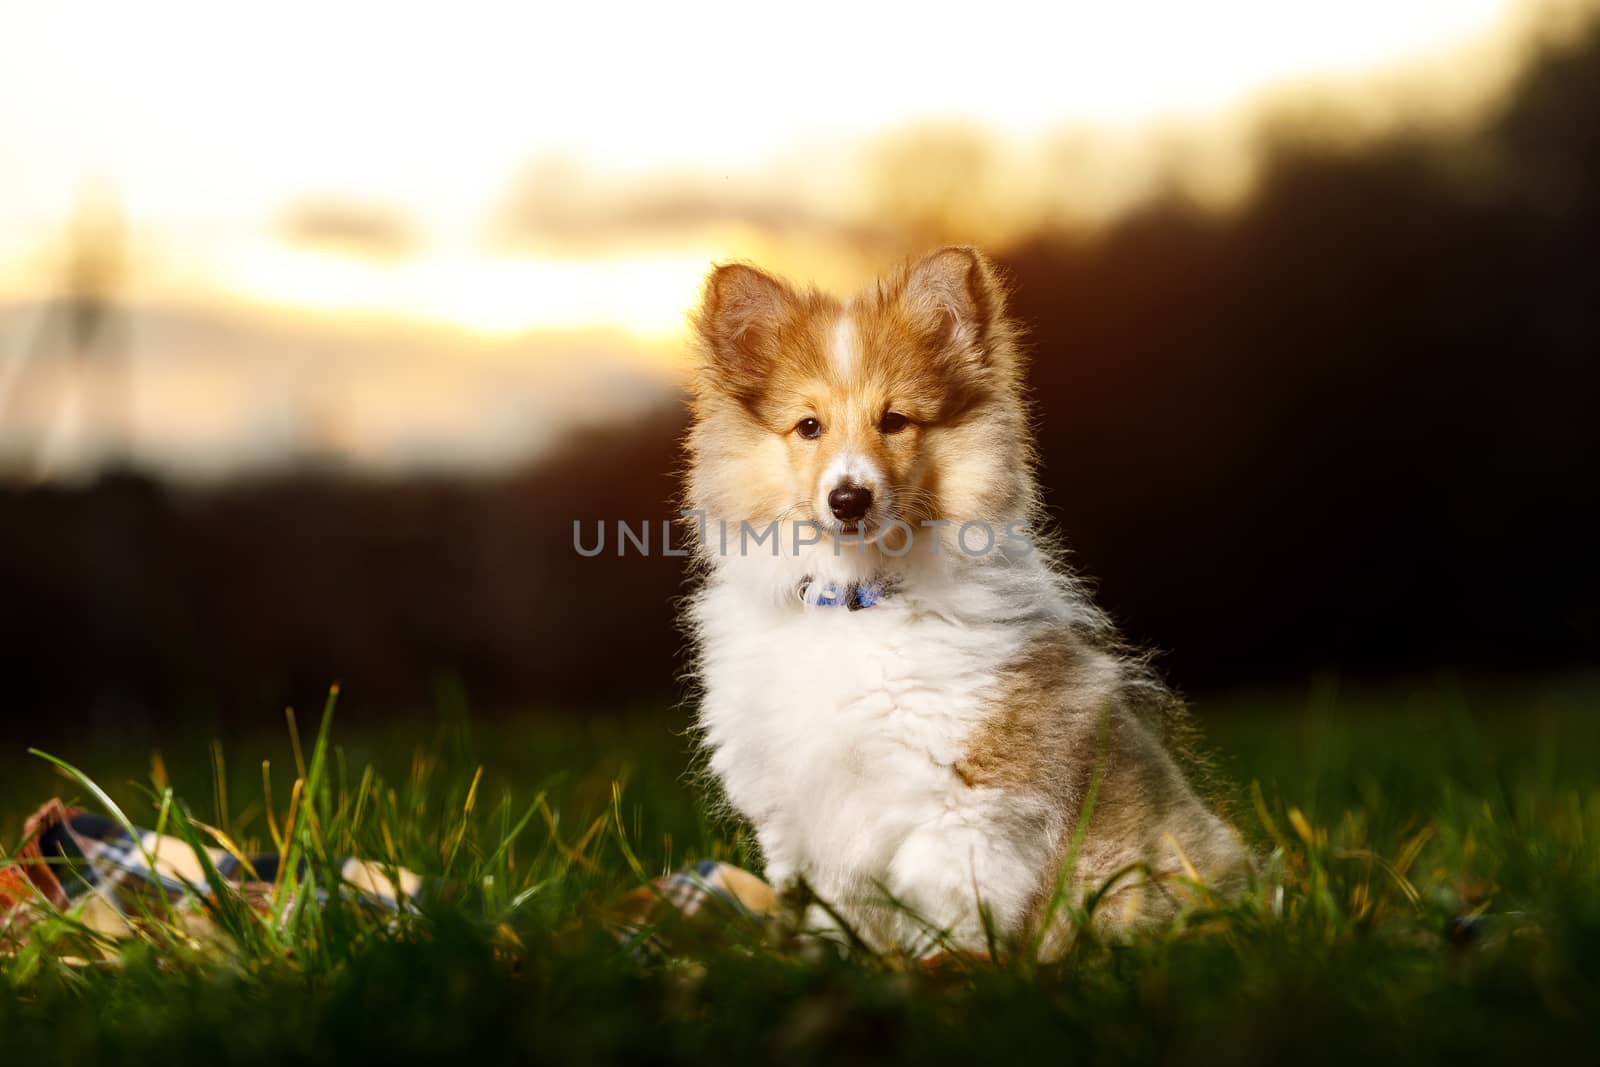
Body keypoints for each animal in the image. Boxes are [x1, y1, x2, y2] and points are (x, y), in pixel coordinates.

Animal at [675, 246, 1248, 953]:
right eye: (808, 426)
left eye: (895, 421)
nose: (848, 499)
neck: (860, 601)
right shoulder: (805, 815)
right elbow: (835, 919)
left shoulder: (967, 803)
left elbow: (950, 919)